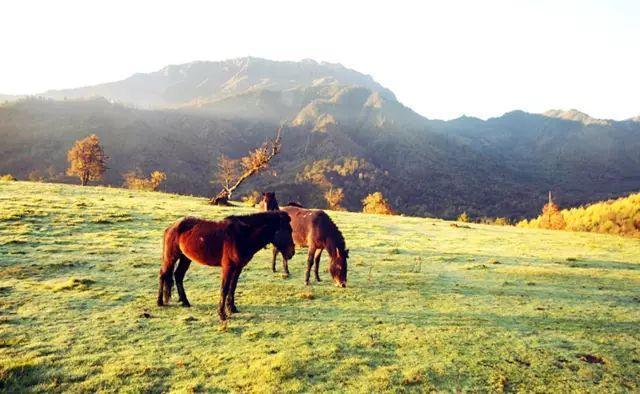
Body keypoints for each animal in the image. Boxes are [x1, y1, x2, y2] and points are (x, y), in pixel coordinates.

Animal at [158, 212, 296, 320]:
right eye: (288, 230)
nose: (292, 253)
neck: (242, 235)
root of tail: (172, 226)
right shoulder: (228, 267)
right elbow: (224, 289)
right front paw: (222, 314)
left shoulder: (238, 267)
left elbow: (232, 287)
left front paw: (232, 308)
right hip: (171, 257)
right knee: (163, 274)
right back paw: (160, 302)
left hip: (186, 258)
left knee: (178, 275)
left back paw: (185, 302)